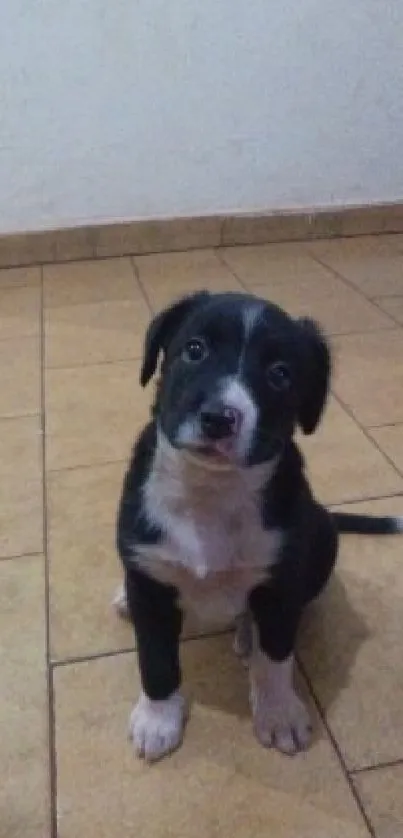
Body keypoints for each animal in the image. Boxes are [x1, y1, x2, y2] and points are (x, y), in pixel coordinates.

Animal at [115, 292, 402, 764]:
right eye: (194, 349)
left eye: (280, 374)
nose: (218, 418)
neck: (211, 492)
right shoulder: (150, 580)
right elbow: (154, 658)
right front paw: (158, 718)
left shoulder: (282, 585)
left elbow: (276, 655)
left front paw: (279, 713)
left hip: (323, 537)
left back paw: (248, 632)